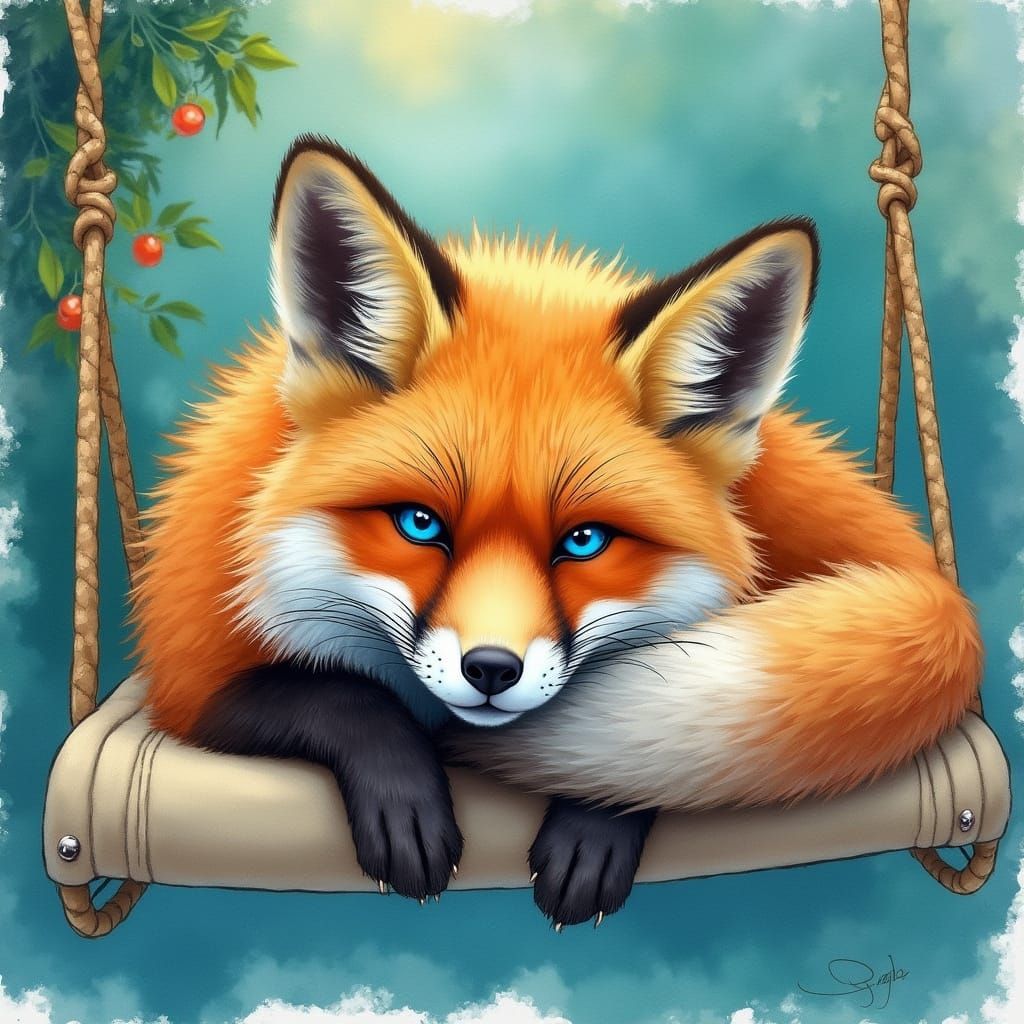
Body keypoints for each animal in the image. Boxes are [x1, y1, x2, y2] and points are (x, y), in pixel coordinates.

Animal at [132, 133, 983, 930]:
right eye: (419, 523)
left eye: (584, 542)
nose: (490, 670)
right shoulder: (189, 675)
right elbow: (339, 695)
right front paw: (405, 798)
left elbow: (646, 755)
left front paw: (595, 821)